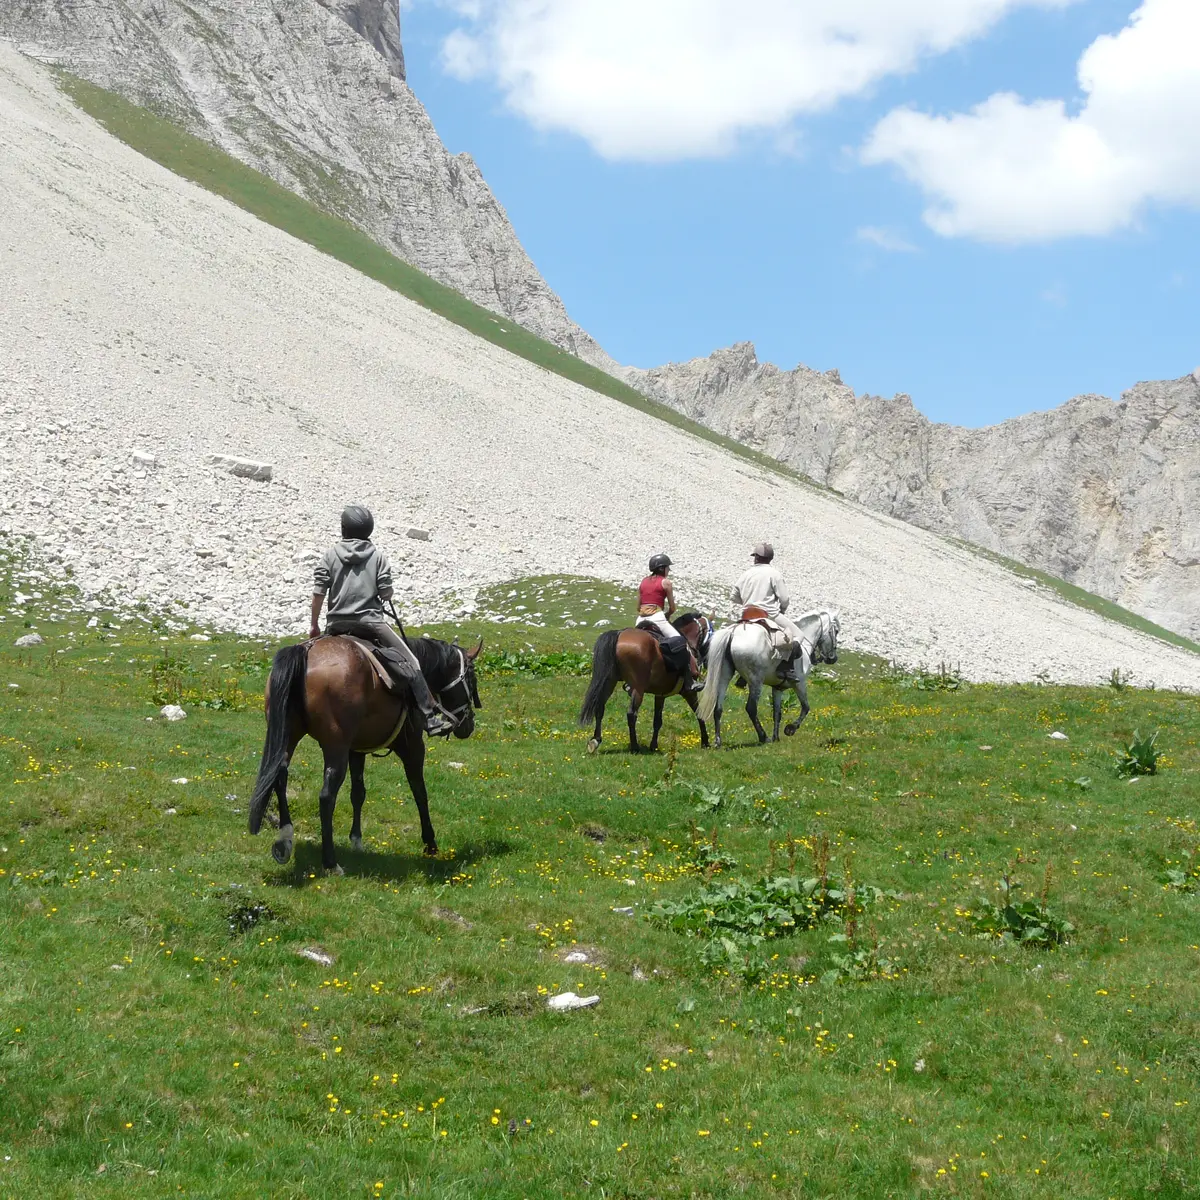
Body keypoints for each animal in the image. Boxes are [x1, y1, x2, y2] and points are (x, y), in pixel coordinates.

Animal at [248, 633, 482, 874]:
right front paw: (430, 844)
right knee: (326, 796)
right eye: (472, 678)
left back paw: (285, 840)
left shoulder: (356, 750)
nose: (468, 725)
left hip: (289, 737)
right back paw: (330, 862)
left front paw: (356, 840)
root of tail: (307, 651)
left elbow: (358, 793)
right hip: (335, 747)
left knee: (280, 777)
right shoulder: (412, 747)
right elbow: (420, 792)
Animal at [579, 612, 714, 754]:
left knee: (600, 706)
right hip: (638, 688)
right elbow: (699, 713)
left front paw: (654, 746)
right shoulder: (688, 692)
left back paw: (596, 740)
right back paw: (634, 747)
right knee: (631, 714)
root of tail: (619, 633)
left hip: (609, 681)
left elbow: (657, 721)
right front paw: (705, 742)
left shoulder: (660, 694)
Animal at [697, 609, 840, 747]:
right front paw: (790, 729)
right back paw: (763, 737)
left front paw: (776, 737)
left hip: (724, 677)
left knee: (718, 708)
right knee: (751, 708)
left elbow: (777, 713)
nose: (833, 658)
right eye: (836, 631)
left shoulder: (777, 688)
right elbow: (805, 707)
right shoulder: (800, 684)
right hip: (756, 681)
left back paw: (718, 741)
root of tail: (733, 632)